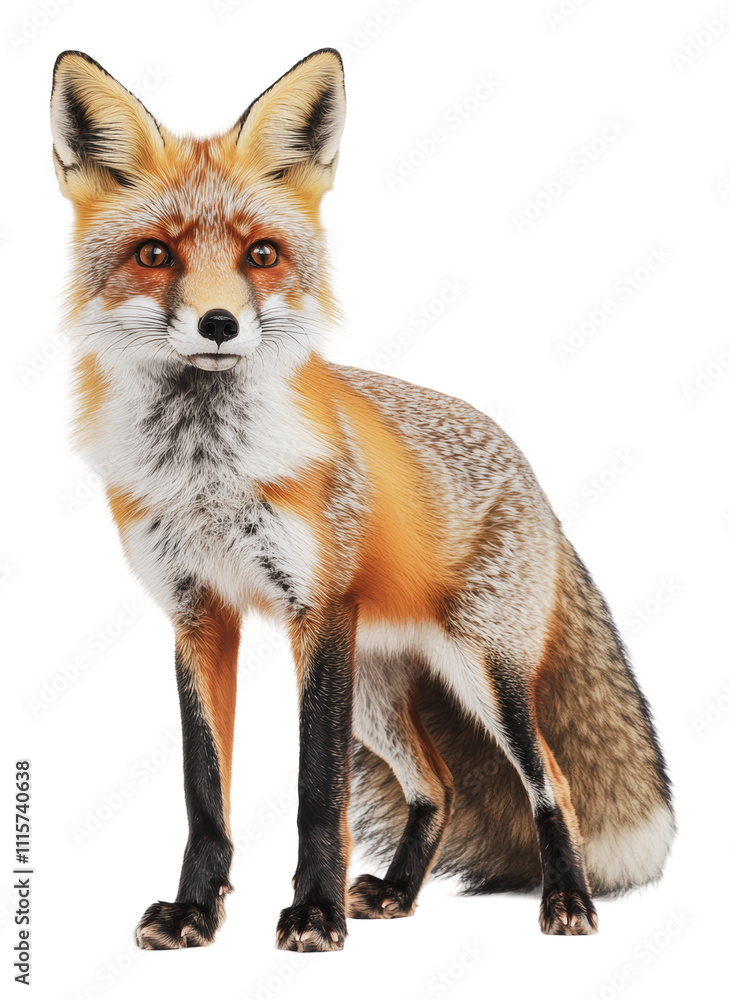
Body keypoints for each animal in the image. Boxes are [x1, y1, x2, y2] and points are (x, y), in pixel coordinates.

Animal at [51, 47, 675, 952]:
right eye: (155, 254)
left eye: (262, 254)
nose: (217, 324)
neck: (206, 470)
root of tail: (525, 467)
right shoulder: (198, 614)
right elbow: (205, 793)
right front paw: (196, 913)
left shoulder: (316, 611)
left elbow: (319, 793)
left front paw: (313, 913)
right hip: (377, 690)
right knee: (439, 784)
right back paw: (399, 893)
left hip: (482, 673)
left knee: (549, 779)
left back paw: (566, 899)